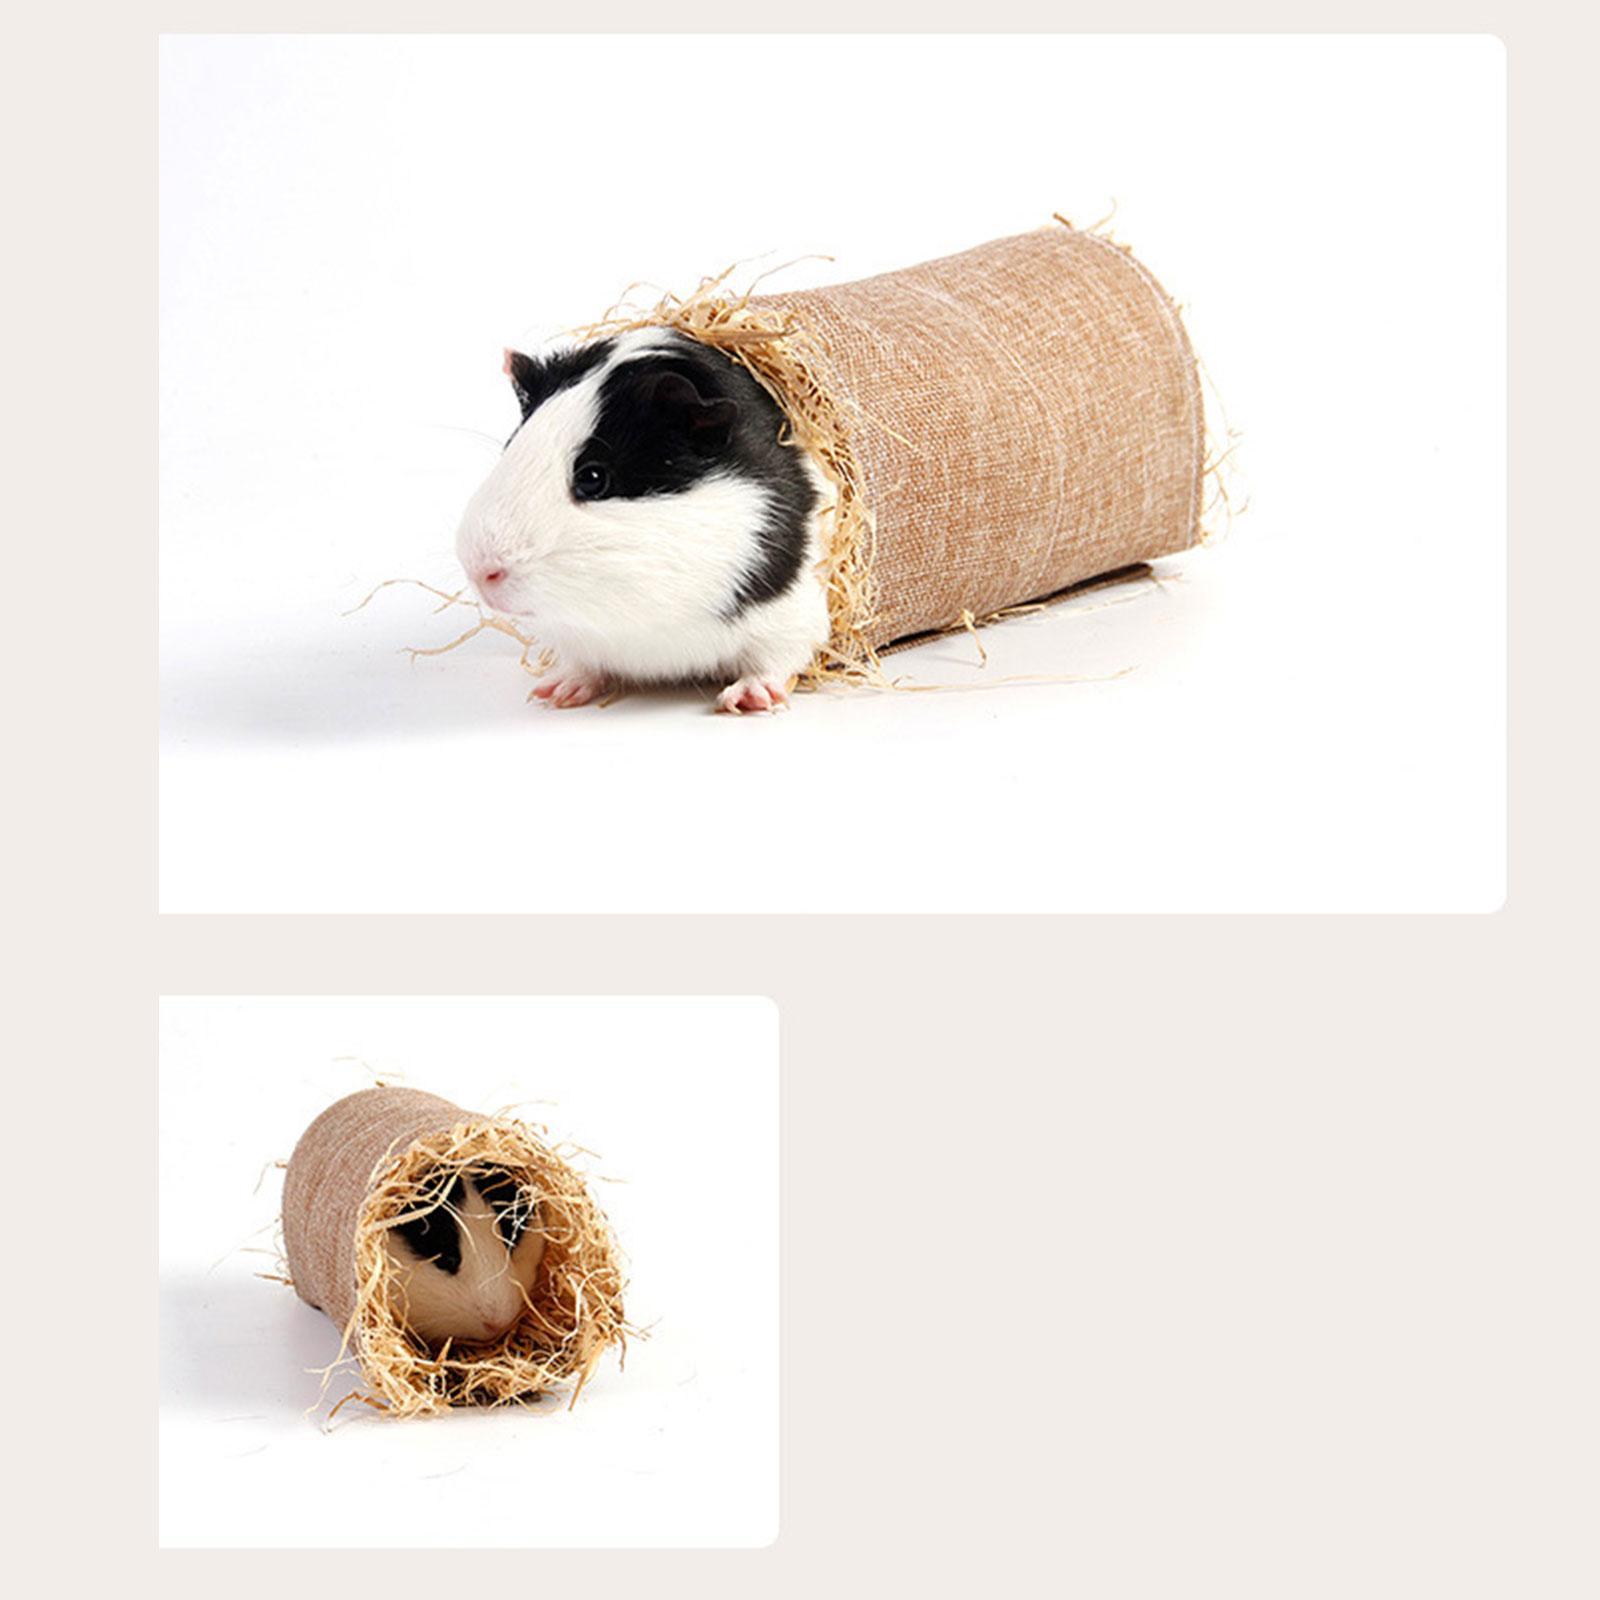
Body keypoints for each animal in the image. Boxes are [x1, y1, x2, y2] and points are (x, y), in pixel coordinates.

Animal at [454, 328, 831, 714]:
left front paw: (746, 700)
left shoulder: (792, 617)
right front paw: (554, 693)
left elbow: (776, 661)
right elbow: (583, 665)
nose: (480, 571)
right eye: (511, 447)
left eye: (593, 477)